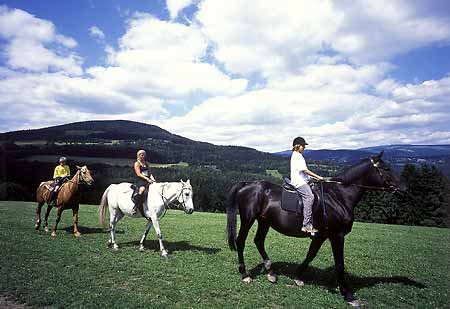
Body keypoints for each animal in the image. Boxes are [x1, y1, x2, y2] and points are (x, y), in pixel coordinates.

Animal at [227, 150, 406, 304]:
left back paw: (271, 273)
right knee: (241, 241)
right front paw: (348, 294)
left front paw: (298, 277)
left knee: (258, 241)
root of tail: (247, 184)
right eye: (386, 168)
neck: (339, 196)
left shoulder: (321, 235)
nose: (404, 188)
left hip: (264, 222)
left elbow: (310, 255)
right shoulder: (337, 235)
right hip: (248, 219)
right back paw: (245, 275)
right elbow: (339, 264)